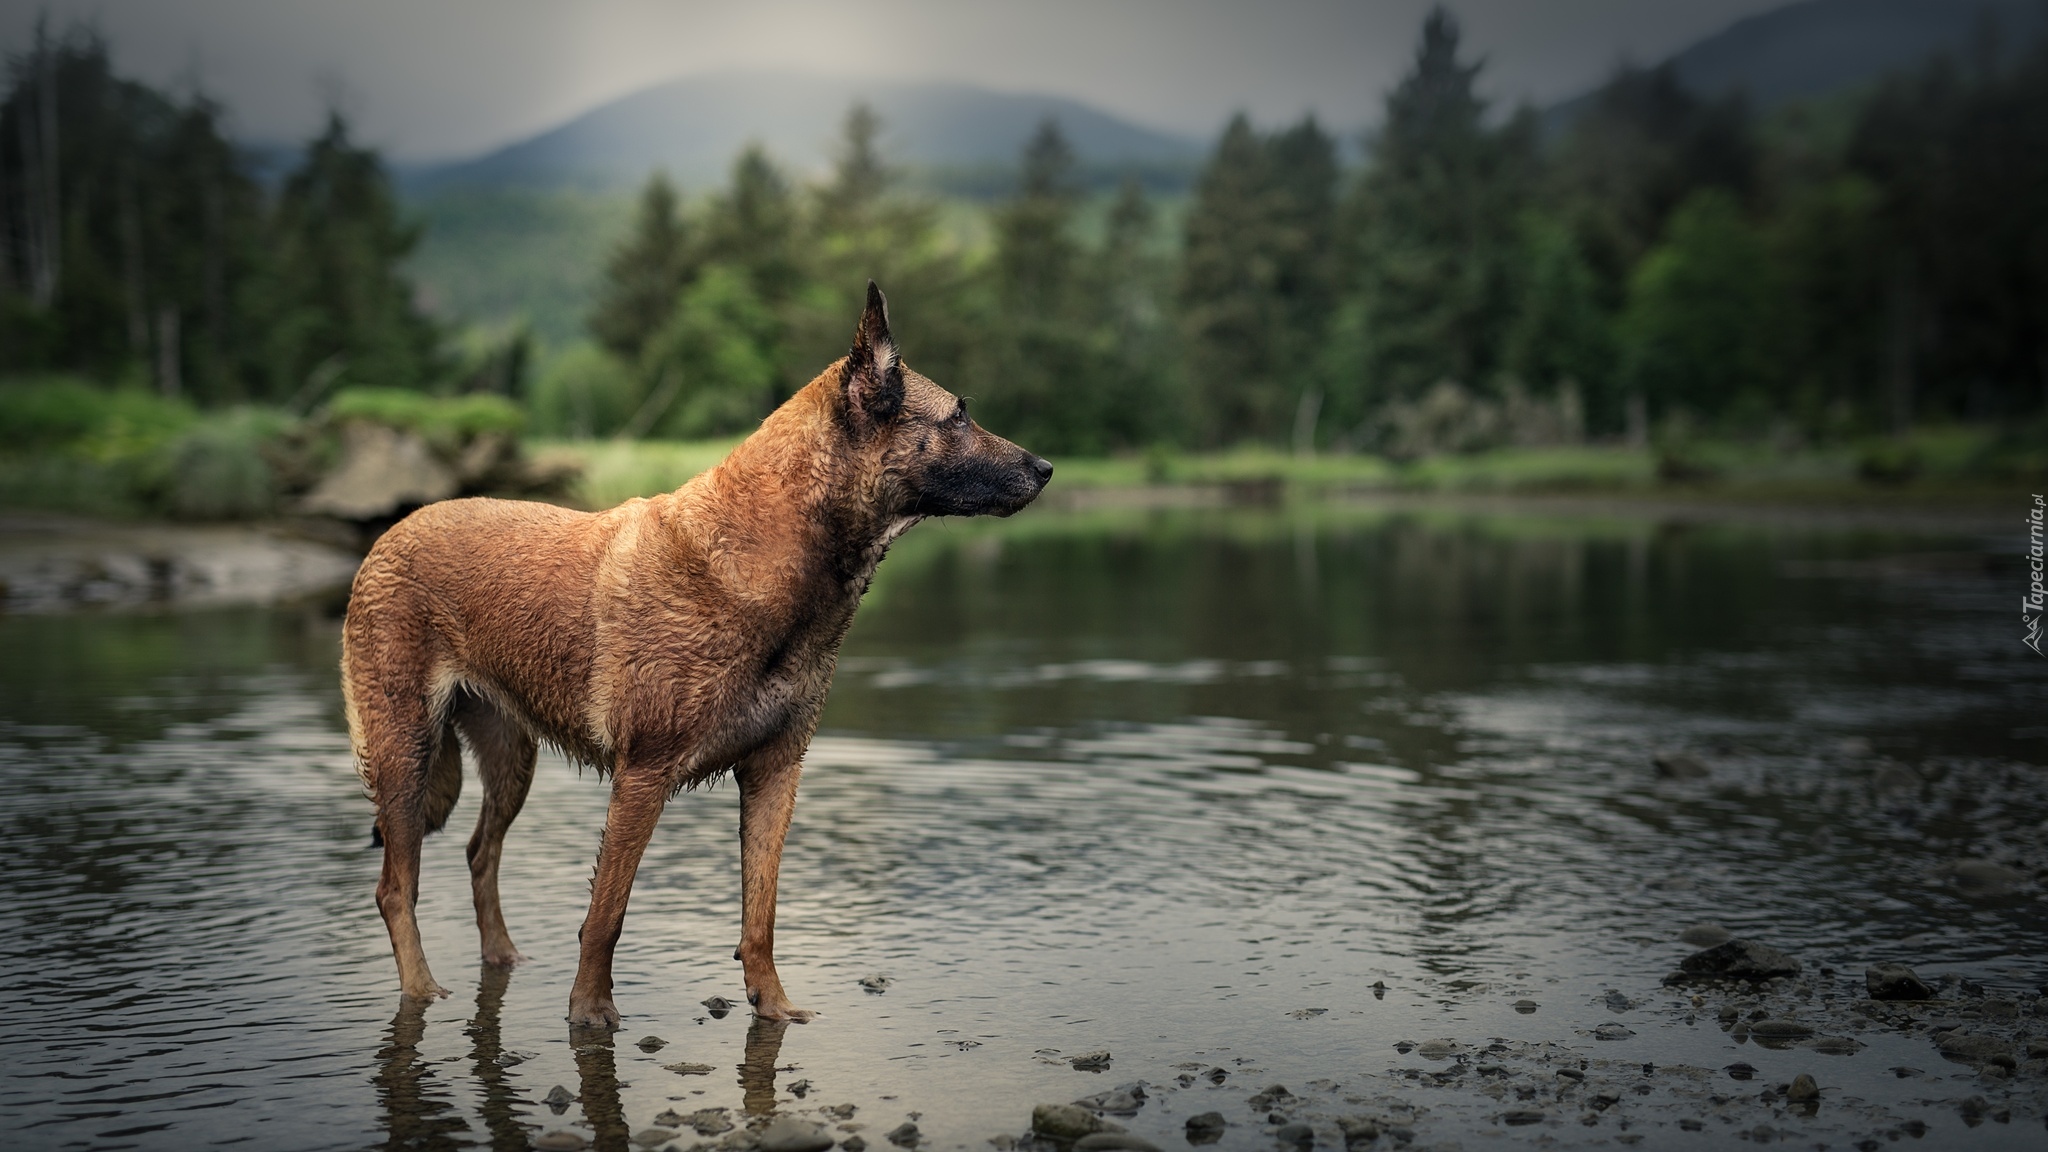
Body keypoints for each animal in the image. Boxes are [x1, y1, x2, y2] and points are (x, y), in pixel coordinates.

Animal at [337, 284, 1056, 1020]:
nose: (1047, 468)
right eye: (959, 416)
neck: (772, 554)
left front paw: (773, 1007)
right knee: (395, 888)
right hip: (405, 753)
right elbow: (607, 913)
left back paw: (501, 956)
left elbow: (760, 915)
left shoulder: (774, 774)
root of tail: (392, 531)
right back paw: (421, 989)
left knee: (480, 852)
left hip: (512, 761)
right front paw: (589, 1013)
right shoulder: (642, 778)